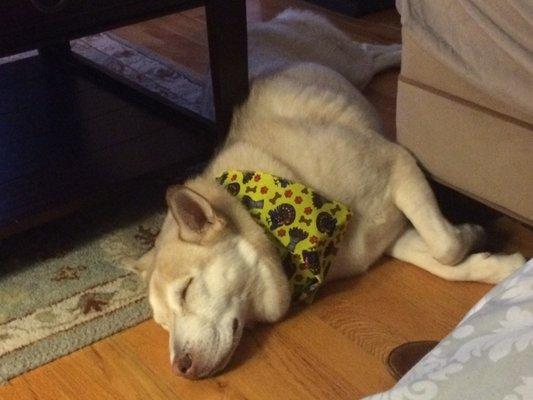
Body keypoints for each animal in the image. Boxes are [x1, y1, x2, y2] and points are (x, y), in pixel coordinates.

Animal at [128, 8, 524, 378]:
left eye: (186, 290)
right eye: (163, 324)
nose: (180, 368)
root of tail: (266, 22)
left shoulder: (400, 164)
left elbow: (445, 247)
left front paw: (471, 237)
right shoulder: (387, 238)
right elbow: (441, 261)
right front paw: (495, 263)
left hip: (350, 63)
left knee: (370, 51)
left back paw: (401, 48)